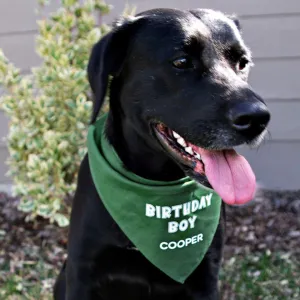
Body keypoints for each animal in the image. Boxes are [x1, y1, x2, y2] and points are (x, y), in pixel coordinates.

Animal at [53, 8, 270, 298]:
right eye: (181, 61)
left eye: (243, 62)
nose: (258, 118)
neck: (155, 185)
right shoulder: (81, 272)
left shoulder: (207, 276)